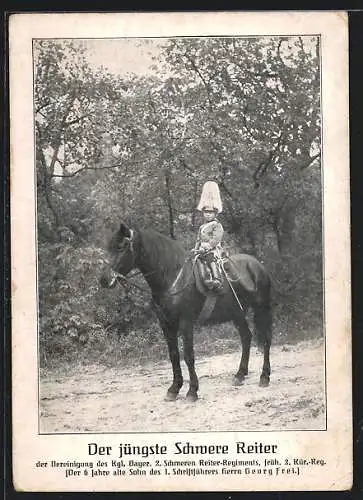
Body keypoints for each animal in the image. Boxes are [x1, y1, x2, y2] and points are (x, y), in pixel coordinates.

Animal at [99, 223, 272, 402]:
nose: (104, 280)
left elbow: (189, 356)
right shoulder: (166, 325)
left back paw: (264, 377)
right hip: (237, 314)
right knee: (246, 338)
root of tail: (257, 265)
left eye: (121, 247)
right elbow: (174, 355)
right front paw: (174, 389)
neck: (172, 278)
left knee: (266, 340)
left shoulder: (185, 323)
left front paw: (192, 391)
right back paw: (240, 375)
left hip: (262, 308)